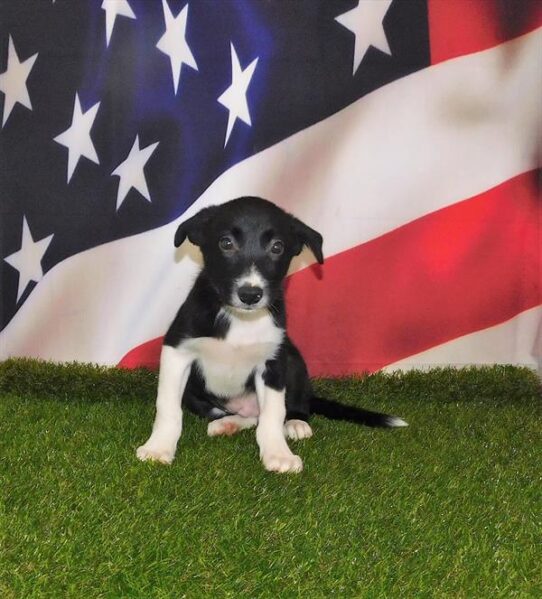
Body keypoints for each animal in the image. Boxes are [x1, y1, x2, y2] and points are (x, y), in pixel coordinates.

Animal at [137, 197, 408, 474]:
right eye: (226, 243)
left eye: (277, 247)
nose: (250, 294)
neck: (240, 319)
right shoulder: (177, 350)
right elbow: (168, 407)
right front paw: (159, 447)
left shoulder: (273, 363)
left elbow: (273, 414)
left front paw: (278, 453)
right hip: (196, 393)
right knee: (241, 415)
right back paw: (227, 423)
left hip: (294, 359)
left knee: (289, 407)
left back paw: (295, 423)